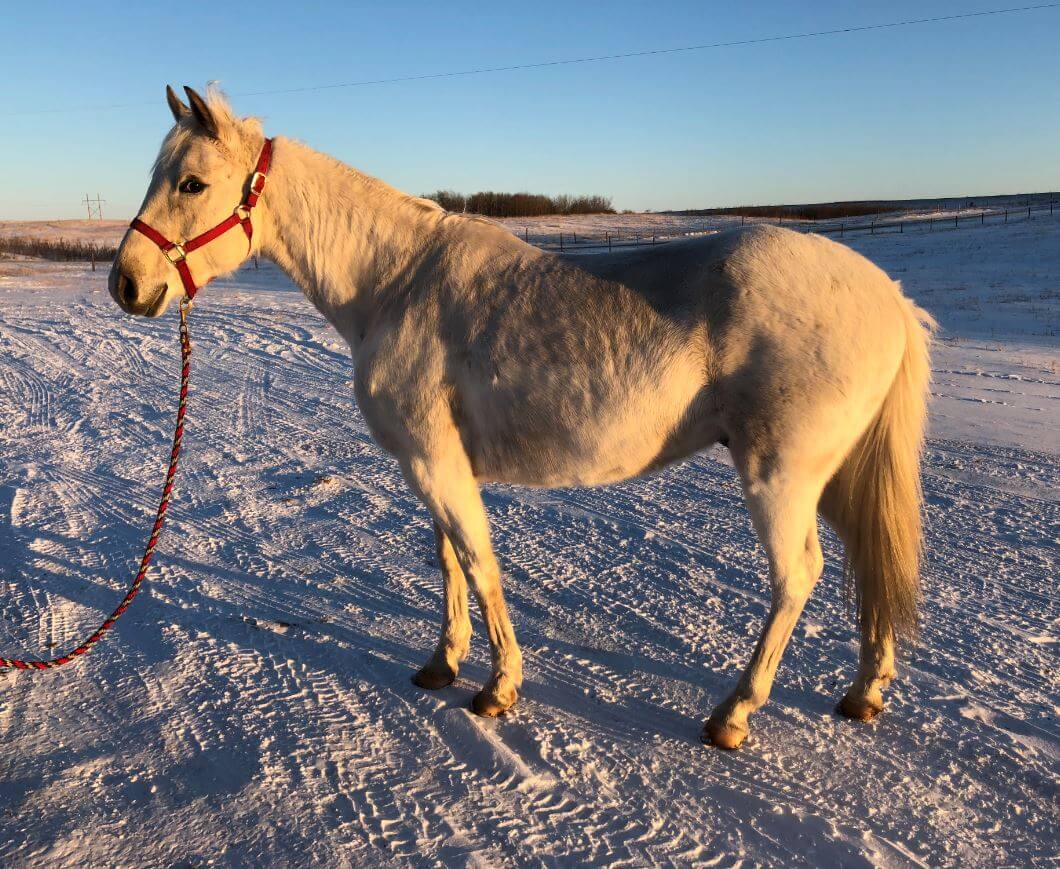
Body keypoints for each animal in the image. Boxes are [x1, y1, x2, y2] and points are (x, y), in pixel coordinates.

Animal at [109, 88, 937, 750]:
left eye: (191, 181)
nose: (127, 284)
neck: (396, 281)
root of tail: (888, 294)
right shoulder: (431, 460)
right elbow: (448, 559)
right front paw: (441, 662)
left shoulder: (436, 462)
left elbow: (480, 562)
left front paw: (497, 687)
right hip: (835, 476)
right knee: (868, 560)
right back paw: (864, 692)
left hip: (781, 476)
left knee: (798, 576)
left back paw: (733, 714)